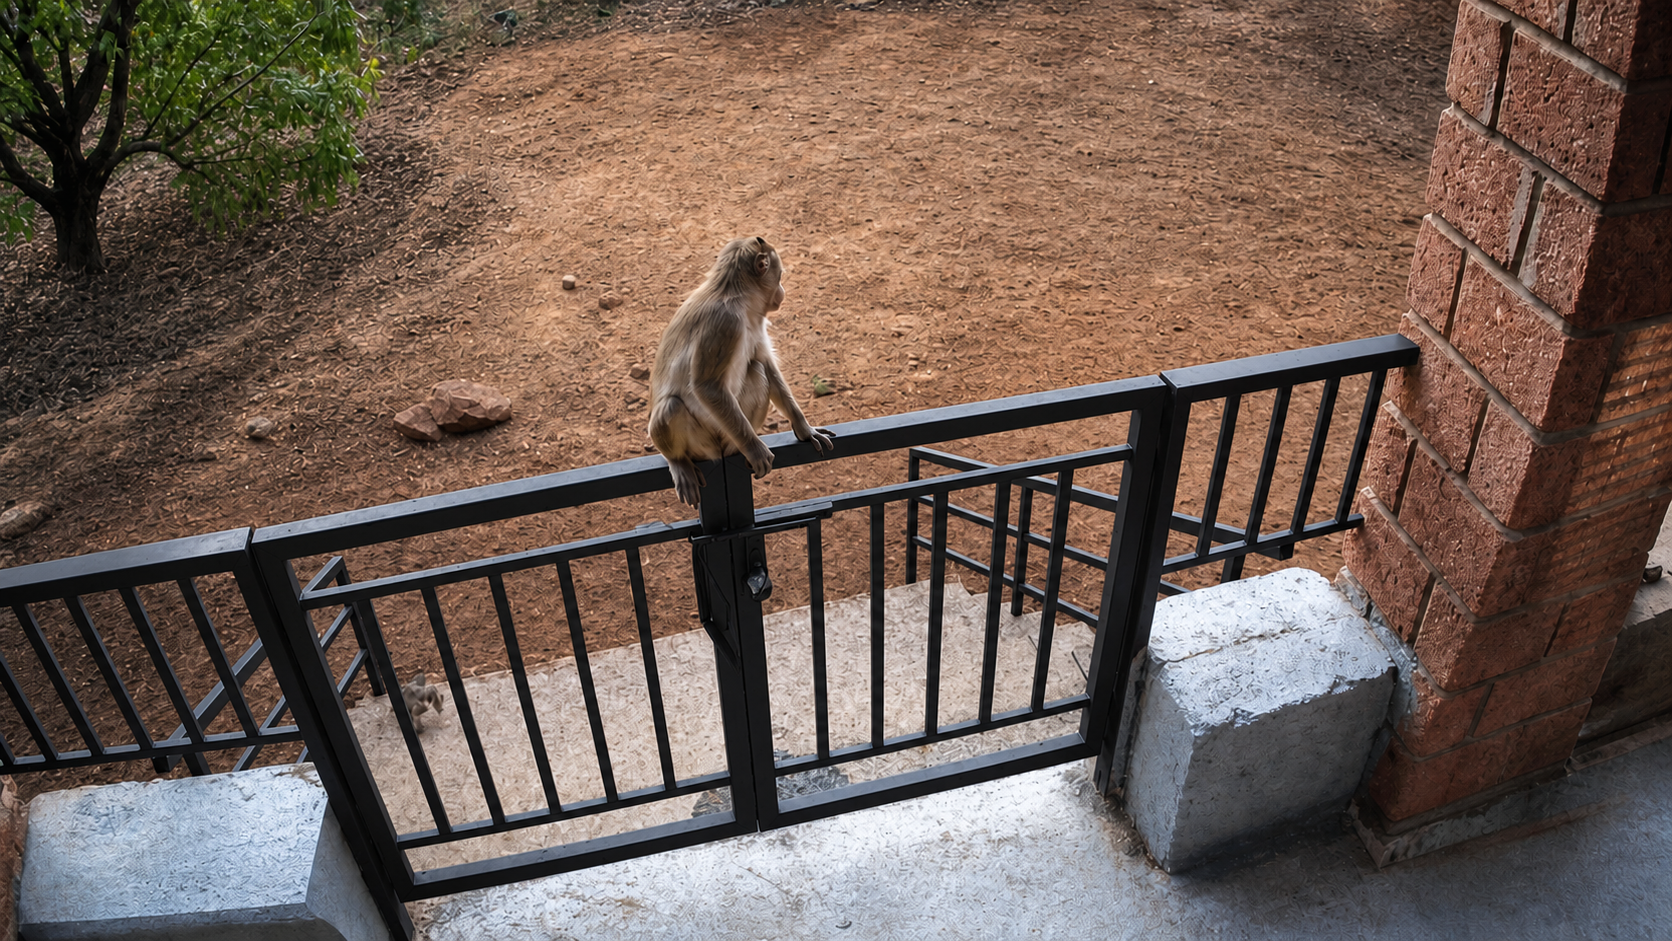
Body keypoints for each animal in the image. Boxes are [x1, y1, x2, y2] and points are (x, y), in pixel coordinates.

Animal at [648, 236, 834, 506]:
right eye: (779, 276)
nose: (782, 291)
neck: (737, 296)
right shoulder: (725, 322)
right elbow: (707, 387)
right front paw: (755, 449)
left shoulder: (755, 321)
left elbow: (765, 363)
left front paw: (804, 429)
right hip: (705, 444)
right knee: (670, 408)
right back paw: (679, 460)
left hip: (727, 435)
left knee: (756, 370)